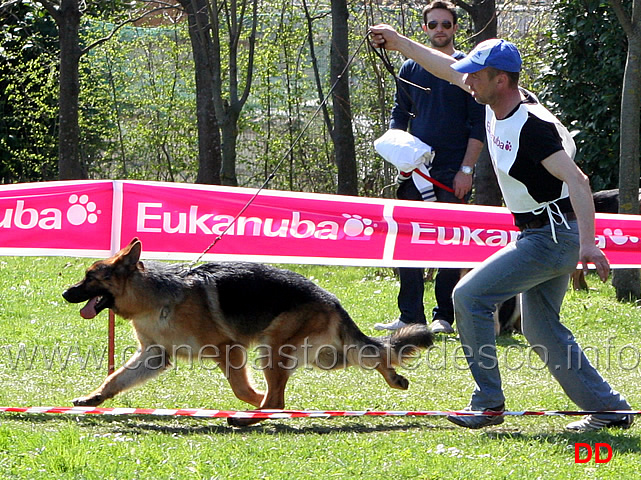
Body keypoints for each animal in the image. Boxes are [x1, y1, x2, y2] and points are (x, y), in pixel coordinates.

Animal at [63, 238, 436, 426]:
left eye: (90, 277)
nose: (65, 293)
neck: (154, 298)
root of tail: (329, 297)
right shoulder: (155, 356)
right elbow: (116, 378)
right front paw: (94, 399)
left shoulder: (229, 349)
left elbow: (243, 390)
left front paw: (253, 403)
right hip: (326, 356)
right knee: (372, 354)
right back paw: (394, 378)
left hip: (273, 349)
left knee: (278, 400)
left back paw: (249, 418)